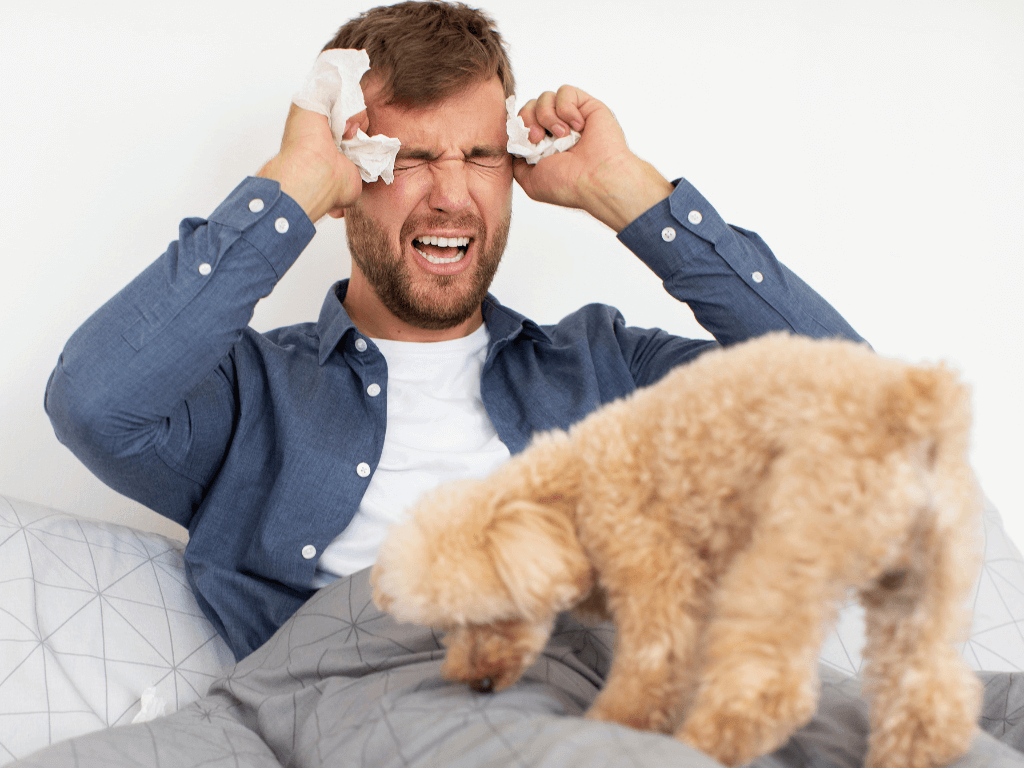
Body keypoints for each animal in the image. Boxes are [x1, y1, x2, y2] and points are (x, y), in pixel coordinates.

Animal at [370, 331, 983, 768]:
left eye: (486, 617)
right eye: (448, 626)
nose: (475, 683)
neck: (574, 484)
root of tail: (913, 400)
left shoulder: (653, 570)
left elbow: (648, 672)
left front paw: (613, 727)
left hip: (787, 556)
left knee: (766, 693)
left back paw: (696, 748)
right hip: (920, 582)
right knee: (931, 695)